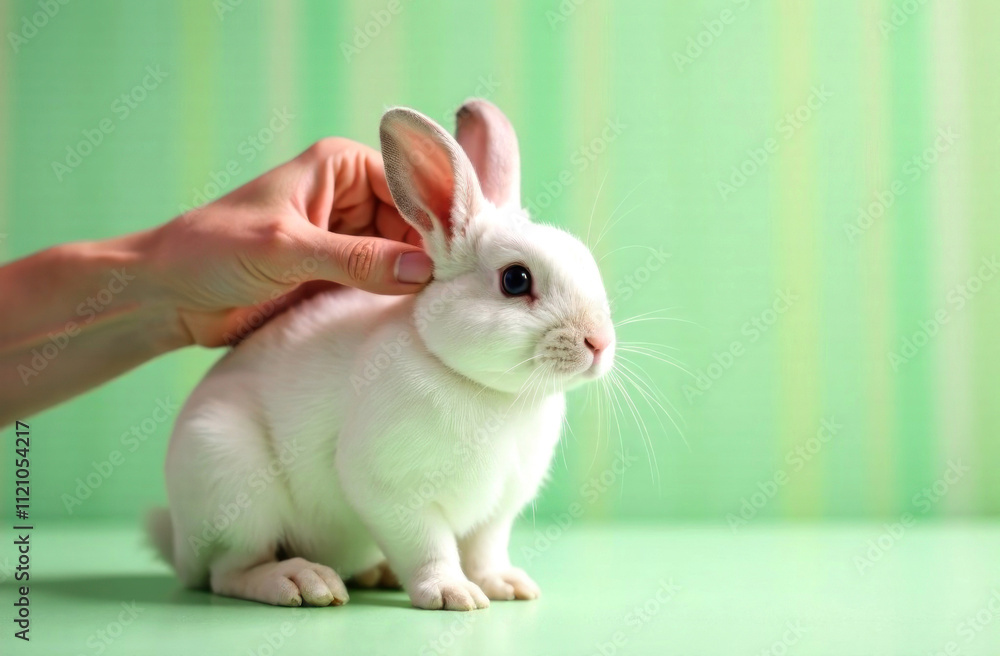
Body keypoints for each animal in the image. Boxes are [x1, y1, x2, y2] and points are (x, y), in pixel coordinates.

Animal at [148, 98, 617, 611]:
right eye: (516, 280)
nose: (599, 342)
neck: (487, 390)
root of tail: (179, 546)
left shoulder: (496, 511)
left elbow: (485, 550)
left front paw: (507, 586)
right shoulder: (392, 493)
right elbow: (430, 548)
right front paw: (453, 594)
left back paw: (377, 573)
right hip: (231, 479)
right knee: (230, 571)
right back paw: (302, 582)